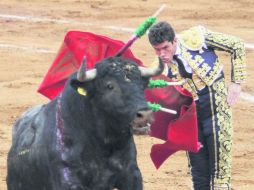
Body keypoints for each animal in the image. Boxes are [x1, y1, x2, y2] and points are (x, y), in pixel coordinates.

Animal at [6, 56, 165, 190]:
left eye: (142, 85)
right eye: (109, 86)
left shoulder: (131, 174)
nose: (145, 114)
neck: (103, 144)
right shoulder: (67, 177)